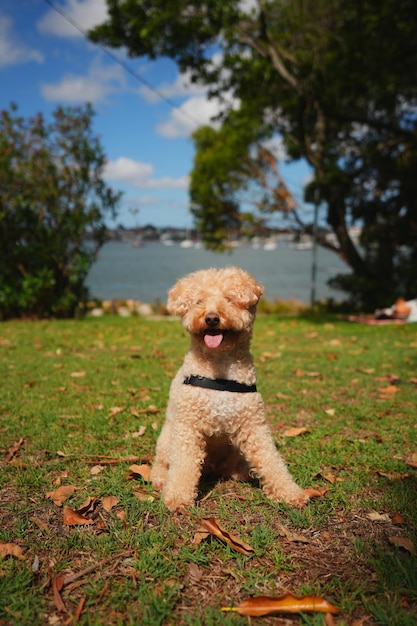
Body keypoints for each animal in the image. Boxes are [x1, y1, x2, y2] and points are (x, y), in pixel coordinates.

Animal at [150, 266, 308, 510]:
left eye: (229, 299)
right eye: (199, 301)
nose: (211, 318)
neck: (220, 370)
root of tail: (212, 468)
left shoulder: (254, 424)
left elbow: (270, 459)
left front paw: (290, 492)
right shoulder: (188, 427)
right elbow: (183, 465)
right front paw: (177, 497)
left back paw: (244, 472)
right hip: (167, 437)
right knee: (162, 462)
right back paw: (159, 479)